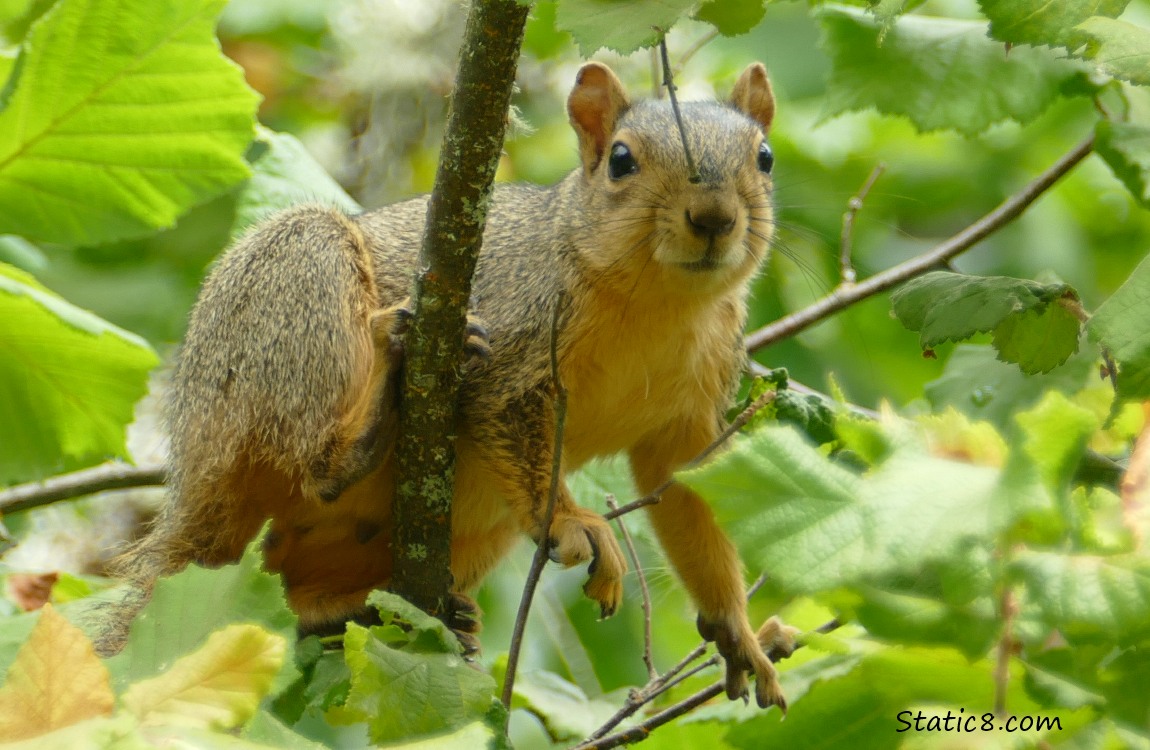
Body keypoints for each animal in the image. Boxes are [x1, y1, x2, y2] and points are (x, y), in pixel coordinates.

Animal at [105, 62, 791, 708]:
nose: (713, 217)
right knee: (310, 463)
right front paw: (572, 520)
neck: (661, 304)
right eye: (622, 160)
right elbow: (508, 429)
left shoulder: (691, 412)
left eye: (765, 157)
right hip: (294, 295)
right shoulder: (512, 337)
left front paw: (736, 631)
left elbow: (689, 492)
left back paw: (367, 610)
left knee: (286, 602)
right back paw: (367, 426)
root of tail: (192, 482)